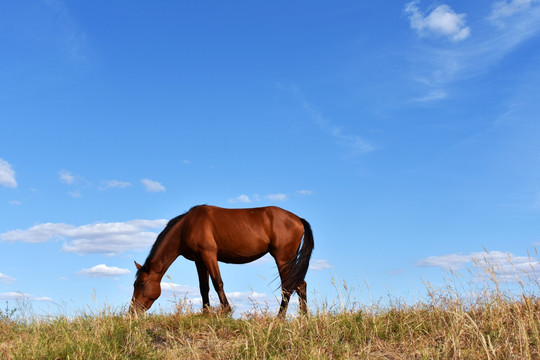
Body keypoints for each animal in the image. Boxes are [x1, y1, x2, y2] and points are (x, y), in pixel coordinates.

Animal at [129, 205, 314, 318]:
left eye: (141, 284)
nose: (132, 311)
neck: (187, 226)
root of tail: (298, 219)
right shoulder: (199, 260)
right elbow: (203, 287)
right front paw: (205, 313)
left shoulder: (209, 254)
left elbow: (217, 282)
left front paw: (226, 310)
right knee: (300, 285)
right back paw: (303, 317)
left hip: (283, 259)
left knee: (289, 287)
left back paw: (280, 318)